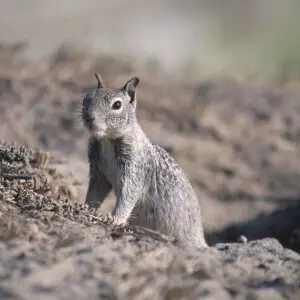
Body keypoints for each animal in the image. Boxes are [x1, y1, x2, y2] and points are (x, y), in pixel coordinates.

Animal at [82, 73, 207, 248]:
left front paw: (114, 219)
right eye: (86, 98)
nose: (88, 118)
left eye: (117, 105)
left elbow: (127, 197)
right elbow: (94, 193)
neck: (107, 139)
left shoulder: (135, 169)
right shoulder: (98, 174)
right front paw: (86, 209)